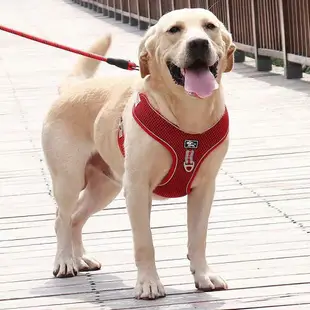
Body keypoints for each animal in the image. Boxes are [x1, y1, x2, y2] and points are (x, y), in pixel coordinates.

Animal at [41, 8, 235, 300]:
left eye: (209, 26)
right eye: (174, 30)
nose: (199, 43)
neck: (189, 115)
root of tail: (73, 88)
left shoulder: (204, 188)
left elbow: (198, 238)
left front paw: (203, 275)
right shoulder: (137, 188)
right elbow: (145, 243)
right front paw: (148, 284)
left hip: (104, 187)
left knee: (76, 217)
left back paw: (81, 258)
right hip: (69, 180)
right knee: (61, 218)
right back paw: (65, 261)